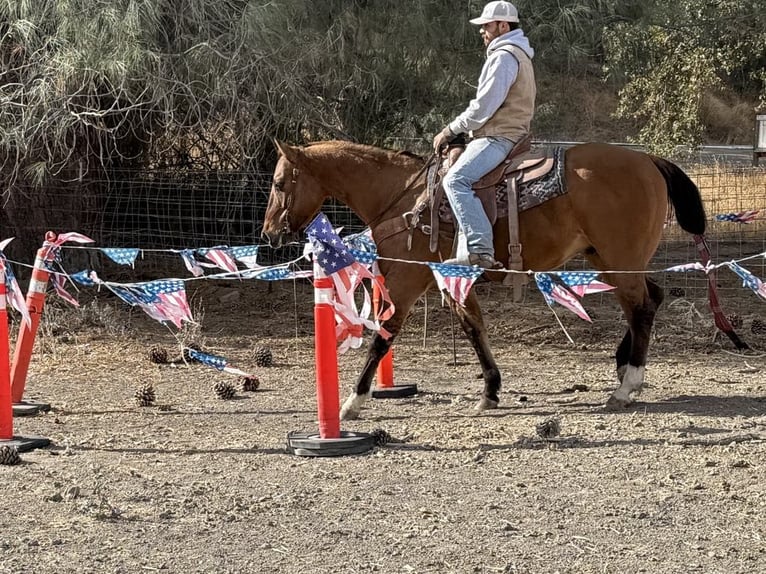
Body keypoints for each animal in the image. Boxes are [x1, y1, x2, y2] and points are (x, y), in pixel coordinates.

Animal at [262, 139, 708, 418]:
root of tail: (648, 161)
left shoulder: (406, 283)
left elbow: (382, 337)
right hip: (610, 260)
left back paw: (627, 384)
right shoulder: (453, 282)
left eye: (280, 183)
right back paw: (622, 366)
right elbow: (474, 328)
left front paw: (353, 401)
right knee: (650, 299)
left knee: (642, 307)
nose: (269, 233)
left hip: (620, 259)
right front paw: (491, 391)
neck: (405, 199)